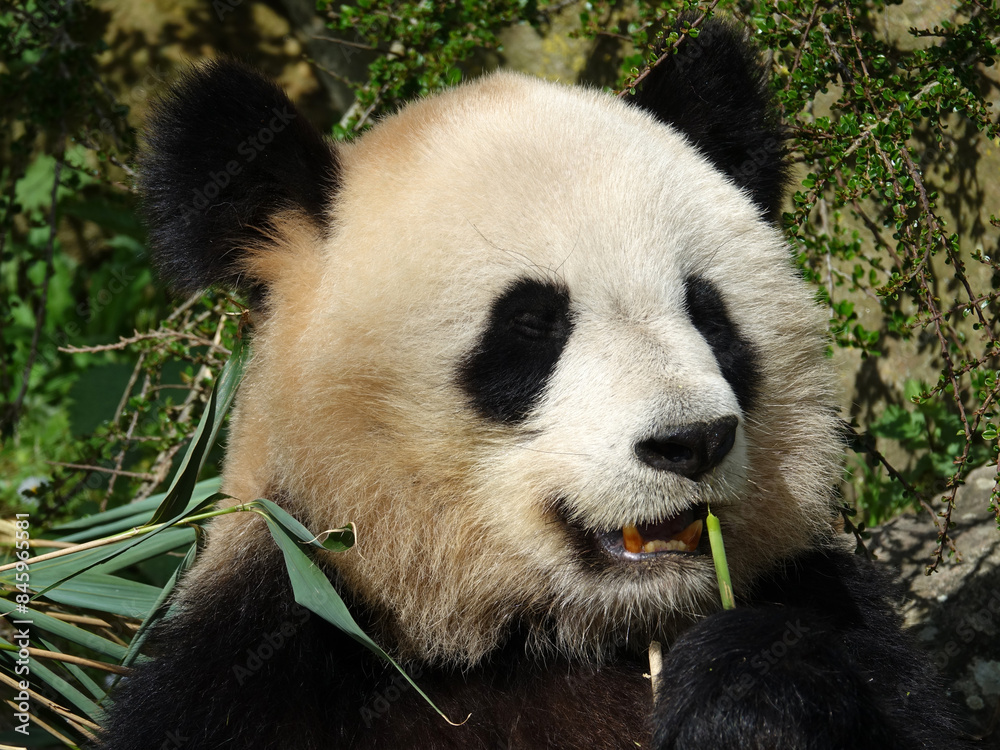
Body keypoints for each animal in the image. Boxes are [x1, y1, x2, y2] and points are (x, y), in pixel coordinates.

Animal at [101, 19, 969, 750]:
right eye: (528, 327)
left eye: (707, 312)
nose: (690, 442)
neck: (538, 635)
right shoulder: (265, 657)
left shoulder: (835, 611)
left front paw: (748, 699)